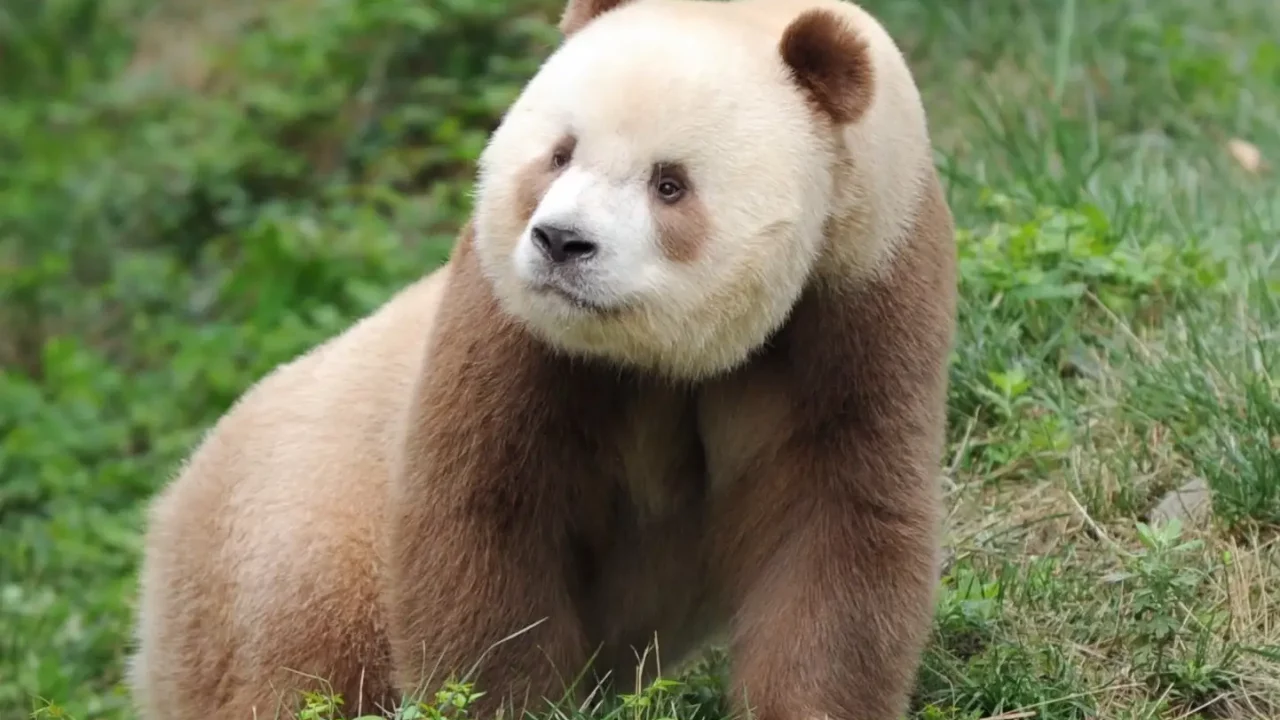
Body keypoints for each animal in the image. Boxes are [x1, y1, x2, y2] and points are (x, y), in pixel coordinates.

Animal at [126, 1, 957, 719]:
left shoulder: (860, 302)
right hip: (297, 549)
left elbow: (836, 529)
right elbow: (486, 523)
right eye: (560, 154)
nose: (561, 241)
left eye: (670, 183)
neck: (663, 358)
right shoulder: (509, 328)